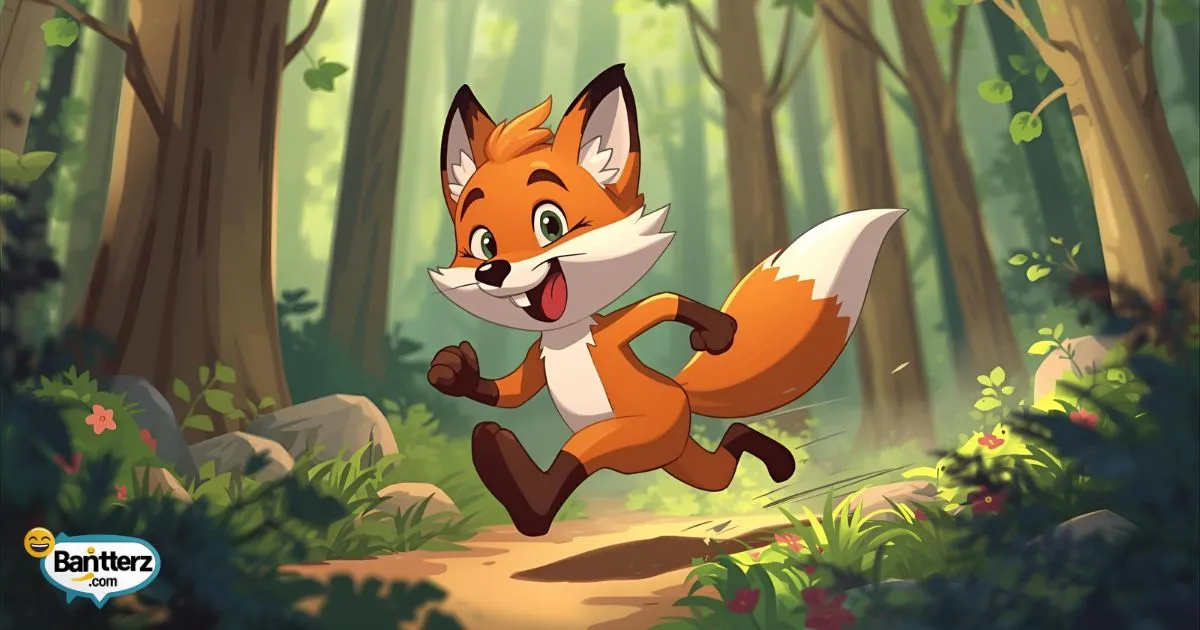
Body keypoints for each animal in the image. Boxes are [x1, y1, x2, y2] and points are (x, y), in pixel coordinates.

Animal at [427, 64, 907, 537]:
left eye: (550, 224)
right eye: (484, 243)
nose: (493, 270)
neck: (564, 338)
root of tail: (683, 393)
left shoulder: (614, 336)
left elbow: (665, 302)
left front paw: (717, 333)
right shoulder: (535, 356)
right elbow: (512, 392)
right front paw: (454, 373)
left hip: (650, 429)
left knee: (591, 449)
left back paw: (522, 490)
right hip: (675, 454)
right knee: (724, 458)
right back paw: (774, 457)